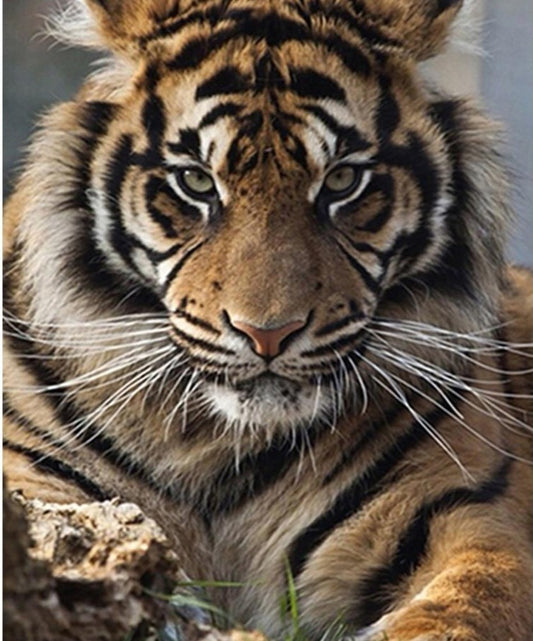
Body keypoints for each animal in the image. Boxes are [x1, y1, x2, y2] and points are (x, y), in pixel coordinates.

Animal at [3, 0, 533, 639]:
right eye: (196, 181)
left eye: (342, 181)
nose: (267, 334)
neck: (218, 447)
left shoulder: (464, 514)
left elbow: (466, 604)